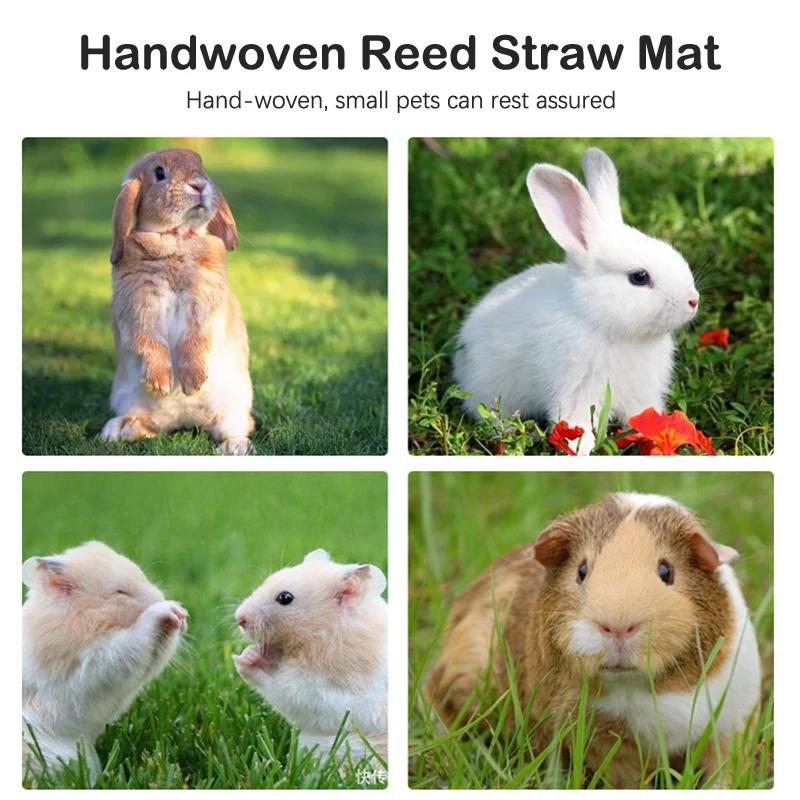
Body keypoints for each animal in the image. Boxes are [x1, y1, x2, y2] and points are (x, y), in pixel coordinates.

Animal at [22, 541, 187, 780]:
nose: (183, 614)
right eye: (121, 593)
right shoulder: (88, 670)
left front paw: (181, 616)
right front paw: (167, 609)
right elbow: (129, 643)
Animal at [99, 149, 255, 455]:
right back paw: (116, 430)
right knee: (147, 426)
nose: (199, 185)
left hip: (234, 410)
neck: (175, 239)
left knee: (236, 428)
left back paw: (234, 447)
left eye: (201, 167)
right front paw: (161, 383)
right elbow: (149, 342)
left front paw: (192, 382)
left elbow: (195, 340)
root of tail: (183, 421)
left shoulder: (204, 307)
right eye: (160, 173)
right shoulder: (138, 310)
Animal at [233, 549, 387, 763]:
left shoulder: (328, 696)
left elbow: (283, 690)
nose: (239, 618)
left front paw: (243, 660)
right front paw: (249, 653)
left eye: (285, 598)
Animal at [426, 493, 761, 788]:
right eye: (582, 570)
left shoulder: (733, 721)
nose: (617, 626)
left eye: (666, 571)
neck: (642, 687)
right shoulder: (605, 744)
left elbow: (724, 768)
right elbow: (627, 779)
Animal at [453, 147, 700, 454]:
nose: (693, 301)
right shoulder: (576, 389)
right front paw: (581, 451)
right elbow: (576, 423)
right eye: (639, 277)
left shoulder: (642, 394)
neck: (601, 322)